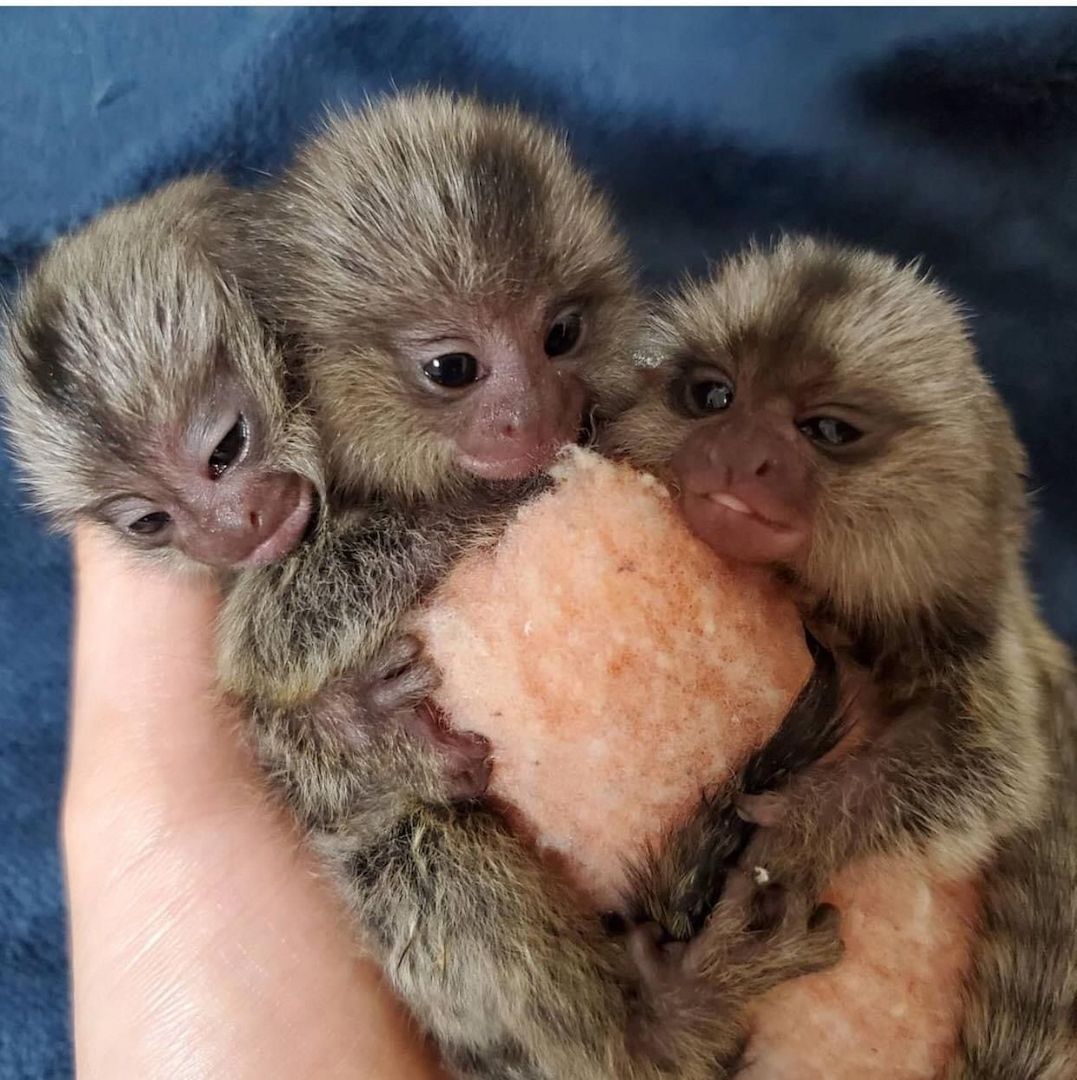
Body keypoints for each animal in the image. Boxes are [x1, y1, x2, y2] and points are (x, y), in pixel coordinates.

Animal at [214, 92, 846, 1079]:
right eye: (453, 369)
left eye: (561, 336)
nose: (541, 415)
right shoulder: (271, 518)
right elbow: (265, 657)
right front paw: (479, 507)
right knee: (420, 852)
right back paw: (660, 1025)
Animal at [603, 234, 1077, 1076]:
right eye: (712, 398)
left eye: (824, 431)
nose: (740, 455)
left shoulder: (978, 635)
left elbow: (987, 768)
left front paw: (802, 822)